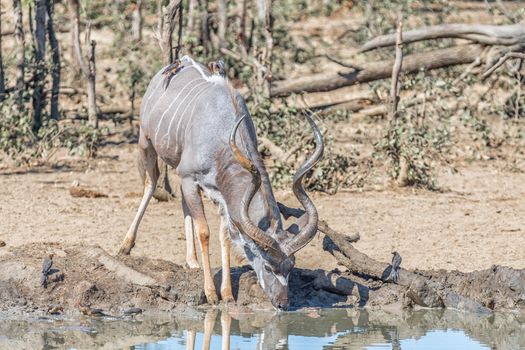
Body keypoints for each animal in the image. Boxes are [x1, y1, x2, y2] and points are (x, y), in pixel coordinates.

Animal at [118, 55, 324, 308]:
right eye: (268, 266)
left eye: (291, 267)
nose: (282, 303)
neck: (222, 133)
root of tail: (178, 62)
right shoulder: (190, 177)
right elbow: (204, 232)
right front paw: (210, 293)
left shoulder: (220, 194)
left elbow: (224, 235)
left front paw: (226, 294)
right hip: (146, 141)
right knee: (150, 183)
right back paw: (126, 245)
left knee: (183, 203)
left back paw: (192, 261)